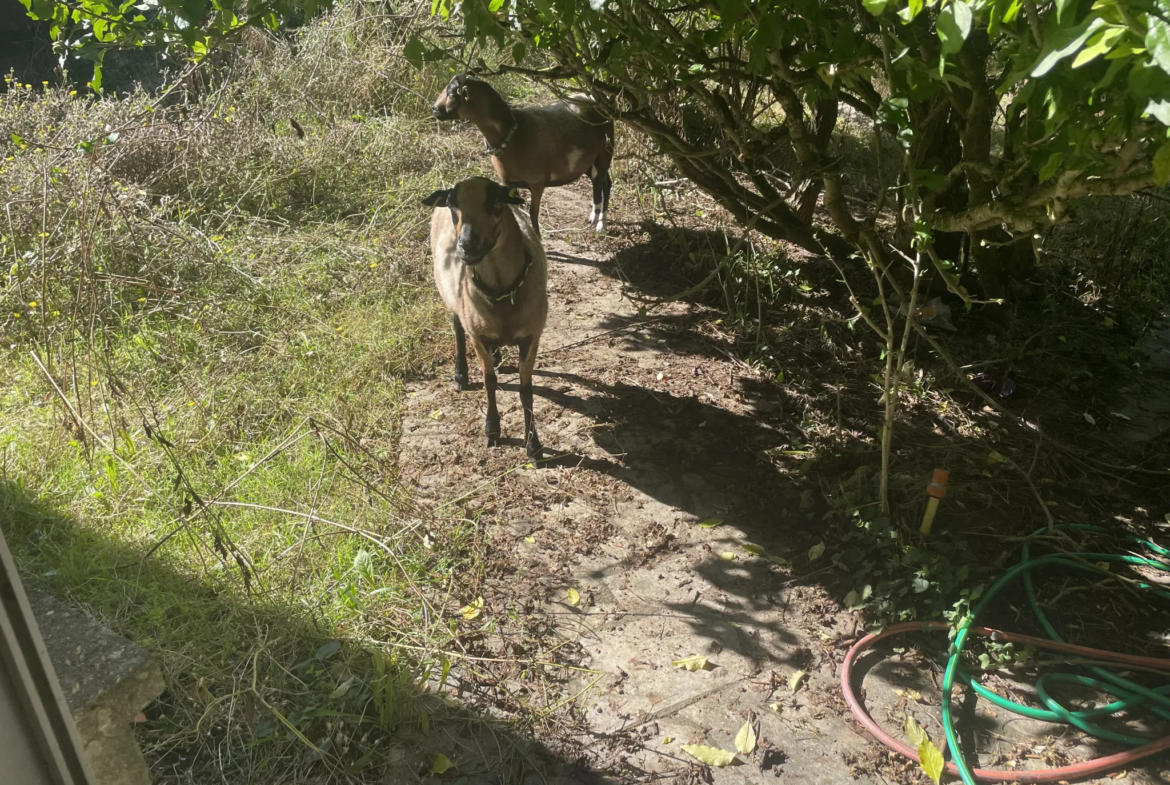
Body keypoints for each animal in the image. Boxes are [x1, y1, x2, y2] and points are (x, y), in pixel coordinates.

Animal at [421, 177, 547, 460]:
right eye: (452, 205)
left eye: (498, 204)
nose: (466, 246)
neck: (503, 294)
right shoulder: (478, 337)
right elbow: (490, 383)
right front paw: (492, 431)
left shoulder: (532, 336)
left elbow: (526, 390)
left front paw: (533, 445)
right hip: (453, 299)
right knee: (457, 328)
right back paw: (461, 376)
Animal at [435, 73, 617, 236]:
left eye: (452, 94)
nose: (434, 109)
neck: (512, 135)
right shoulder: (508, 182)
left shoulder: (537, 183)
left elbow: (533, 213)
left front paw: (537, 237)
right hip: (588, 159)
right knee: (596, 181)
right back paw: (593, 217)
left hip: (605, 150)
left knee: (606, 183)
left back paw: (602, 225)